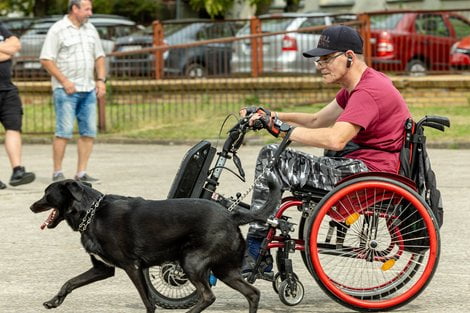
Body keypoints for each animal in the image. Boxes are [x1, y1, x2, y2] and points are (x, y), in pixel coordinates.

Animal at [31, 174, 280, 310]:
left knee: (208, 296)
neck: (92, 213)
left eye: (47, 193)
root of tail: (232, 215)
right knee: (252, 293)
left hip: (192, 263)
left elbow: (148, 301)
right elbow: (70, 283)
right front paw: (54, 301)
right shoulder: (103, 268)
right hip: (225, 270)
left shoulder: (132, 267)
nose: (32, 206)